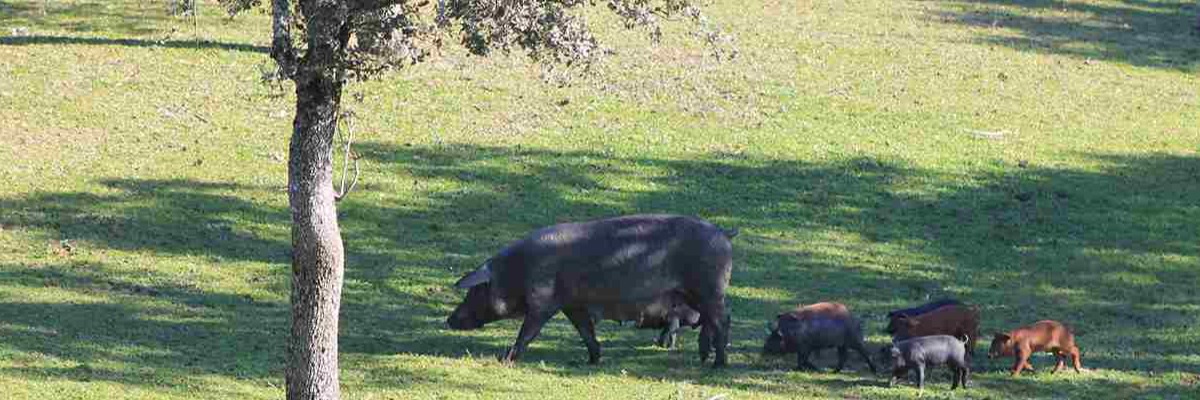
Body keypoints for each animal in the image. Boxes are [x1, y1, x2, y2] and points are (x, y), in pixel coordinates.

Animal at [448, 213, 734, 365]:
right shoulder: (572, 304)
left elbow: (528, 332)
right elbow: (585, 330)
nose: (449, 320)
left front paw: (505, 359)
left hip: (708, 289)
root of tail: (724, 233)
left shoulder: (543, 303)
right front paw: (594, 359)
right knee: (711, 321)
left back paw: (718, 364)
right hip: (695, 295)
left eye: (475, 291)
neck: (517, 271)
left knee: (722, 320)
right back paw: (704, 358)